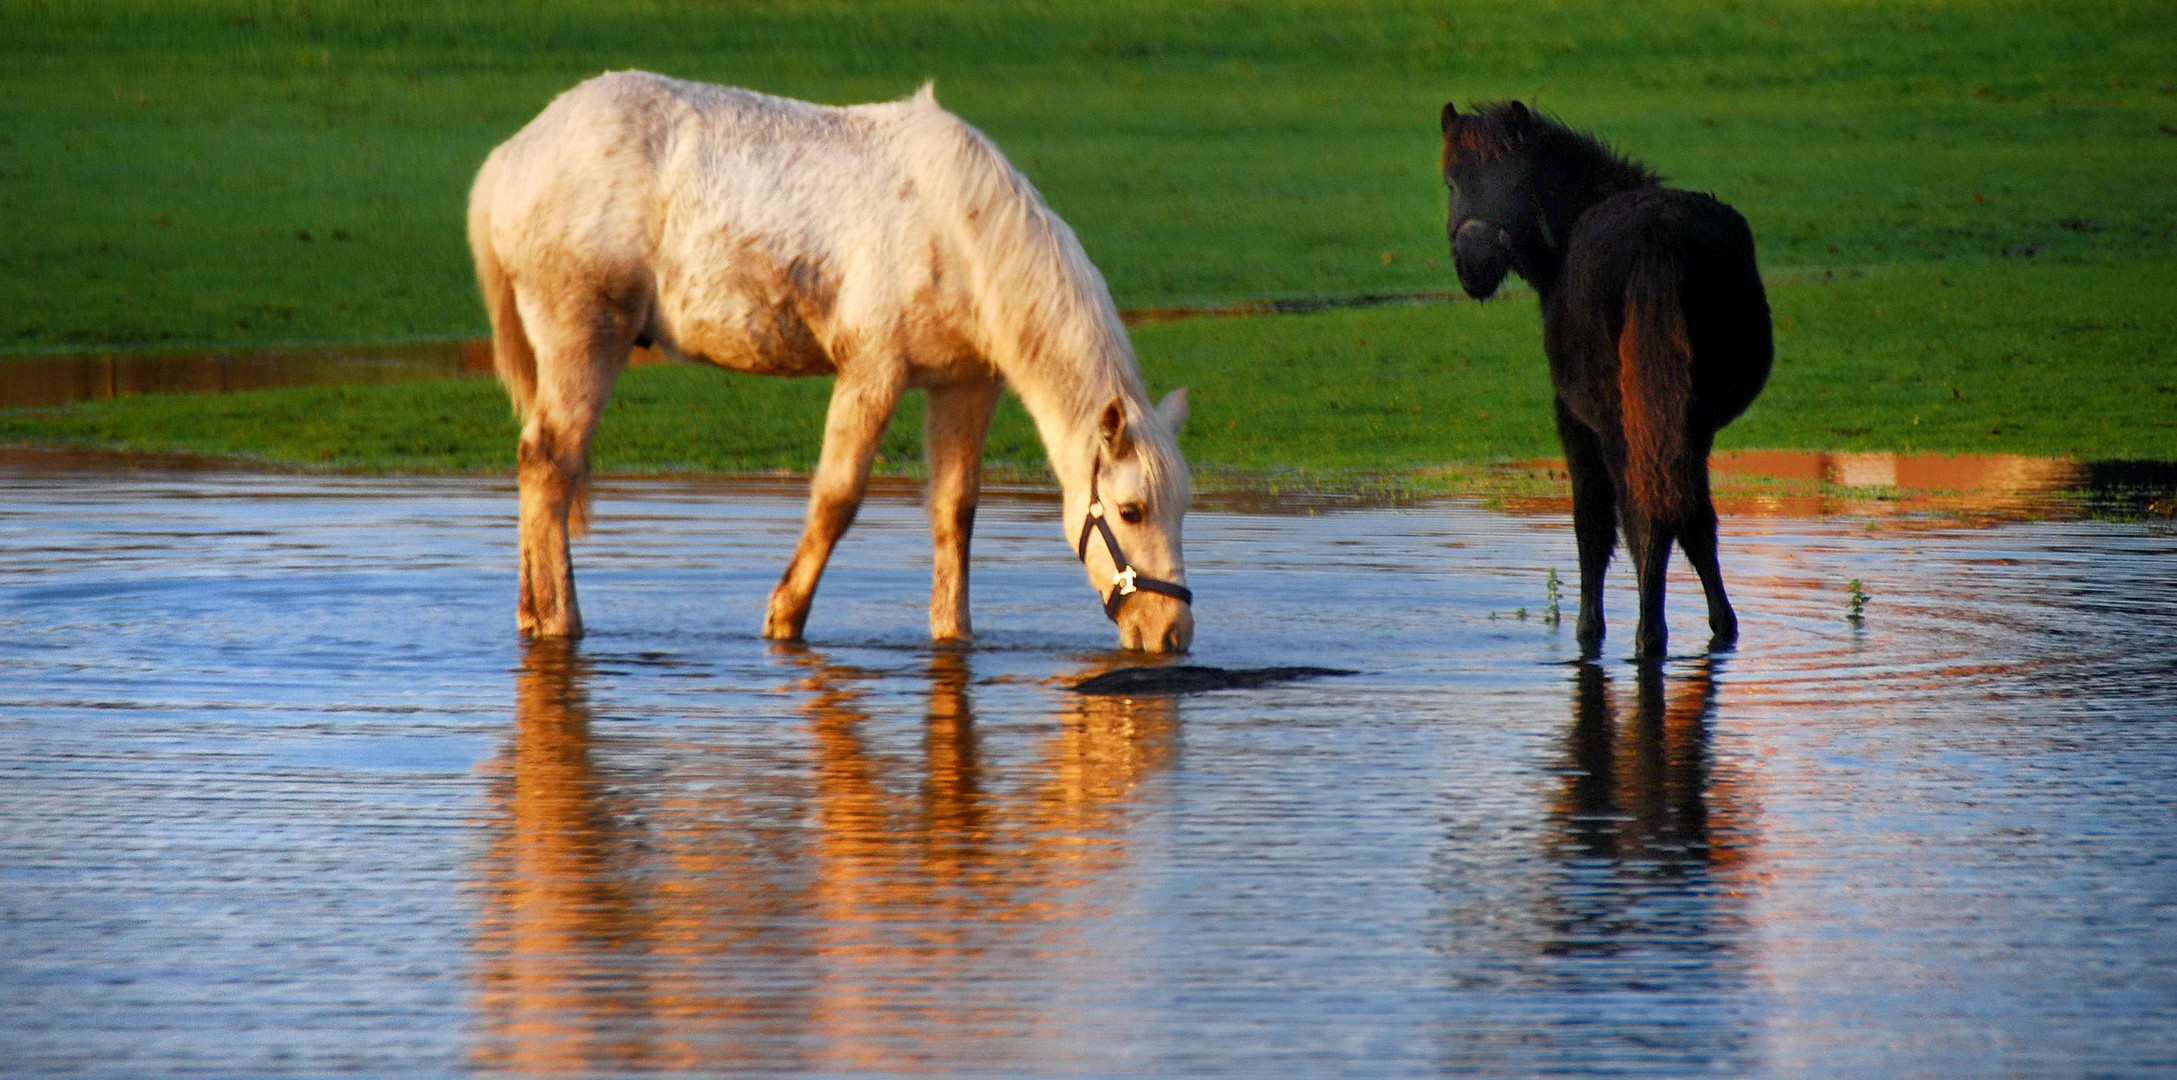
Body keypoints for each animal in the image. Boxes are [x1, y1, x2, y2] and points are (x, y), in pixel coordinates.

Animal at [465, 76, 1201, 653]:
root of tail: (512, 157)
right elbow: (837, 498)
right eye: (1132, 510)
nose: (1173, 634)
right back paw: (561, 621)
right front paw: (785, 617)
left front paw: (953, 634)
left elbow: (955, 510)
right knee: (551, 463)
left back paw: (533, 614)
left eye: (1181, 509)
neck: (959, 228)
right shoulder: (871, 372)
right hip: (585, 341)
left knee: (538, 468)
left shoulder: (965, 386)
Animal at [1436, 101, 1776, 657]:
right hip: (1686, 419)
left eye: (1517, 179)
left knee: (1641, 517)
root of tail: (1656, 241)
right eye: (1452, 181)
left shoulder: (1574, 421)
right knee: (1685, 513)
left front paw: (1588, 627)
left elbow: (1591, 526)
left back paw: (1648, 633)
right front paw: (1720, 622)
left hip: (1618, 423)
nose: (1476, 261)